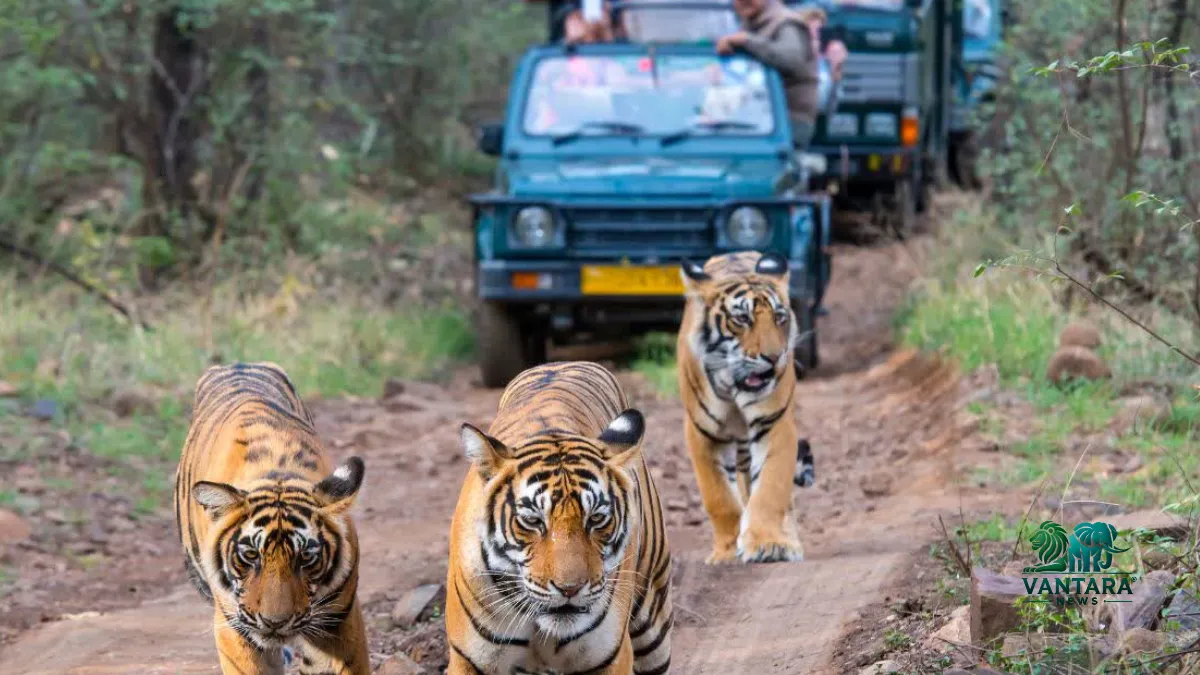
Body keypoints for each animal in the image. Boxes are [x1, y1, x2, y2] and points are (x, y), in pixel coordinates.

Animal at [174, 362, 369, 675]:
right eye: (251, 555)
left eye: (306, 558)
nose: (274, 623)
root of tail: (237, 363)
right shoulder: (235, 626)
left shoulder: (338, 622)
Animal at [446, 361, 672, 675]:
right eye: (532, 521)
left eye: (596, 519)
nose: (570, 589)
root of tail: (562, 363)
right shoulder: (470, 659)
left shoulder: (610, 658)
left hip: (653, 623)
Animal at [676, 251, 811, 564]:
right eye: (742, 319)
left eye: (779, 317)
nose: (774, 357)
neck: (733, 386)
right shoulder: (701, 435)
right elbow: (719, 498)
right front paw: (726, 552)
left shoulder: (774, 424)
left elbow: (770, 488)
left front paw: (768, 544)